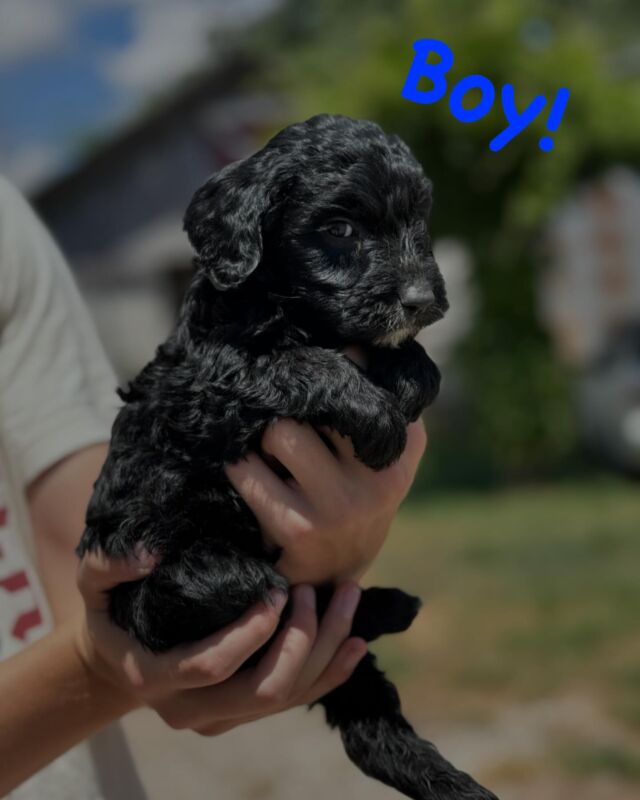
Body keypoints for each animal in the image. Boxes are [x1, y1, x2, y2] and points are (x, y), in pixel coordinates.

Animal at [77, 114, 498, 800]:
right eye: (339, 230)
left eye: (419, 222)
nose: (422, 299)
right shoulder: (204, 387)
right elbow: (293, 364)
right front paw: (378, 415)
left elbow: (412, 362)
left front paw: (409, 378)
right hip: (153, 588)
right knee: (223, 593)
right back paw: (280, 586)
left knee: (372, 728)